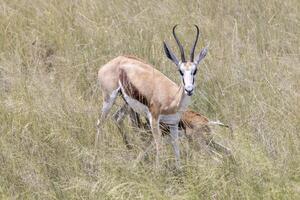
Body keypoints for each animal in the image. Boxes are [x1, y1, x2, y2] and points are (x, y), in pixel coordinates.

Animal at [97, 25, 207, 167]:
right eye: (180, 71)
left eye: (195, 70)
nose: (189, 89)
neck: (173, 99)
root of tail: (115, 61)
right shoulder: (154, 120)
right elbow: (159, 147)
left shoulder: (173, 124)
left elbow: (176, 151)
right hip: (108, 99)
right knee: (100, 123)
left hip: (127, 103)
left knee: (117, 118)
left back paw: (130, 149)